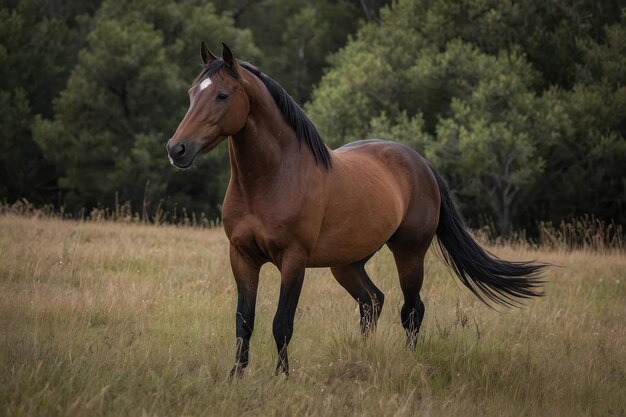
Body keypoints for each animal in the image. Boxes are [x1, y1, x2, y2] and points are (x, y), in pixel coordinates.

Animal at [165, 43, 540, 376]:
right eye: (191, 93)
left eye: (222, 95)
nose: (176, 149)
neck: (274, 178)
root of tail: (421, 164)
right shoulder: (241, 256)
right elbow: (244, 322)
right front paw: (236, 377)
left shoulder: (293, 260)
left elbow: (281, 323)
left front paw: (281, 378)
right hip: (347, 263)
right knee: (372, 302)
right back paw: (363, 356)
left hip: (409, 254)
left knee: (411, 310)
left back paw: (409, 361)